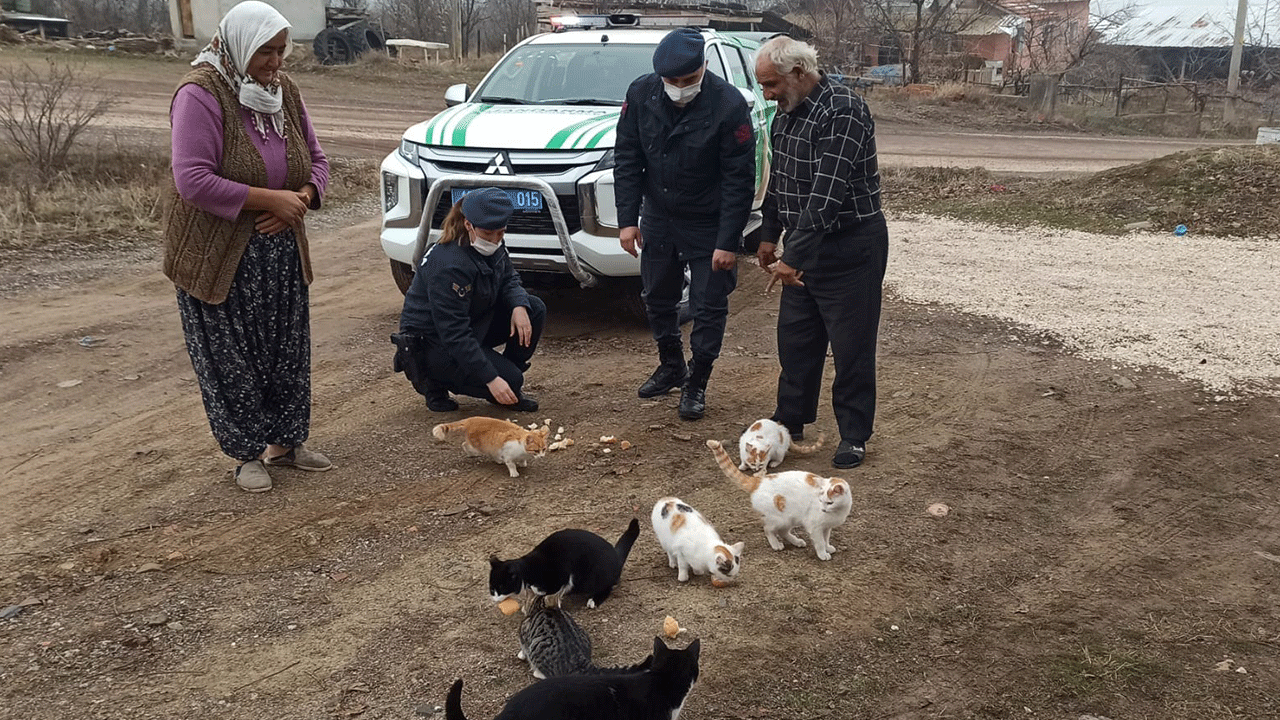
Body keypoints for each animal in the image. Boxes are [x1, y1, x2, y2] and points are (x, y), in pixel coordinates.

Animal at [491, 517, 645, 607]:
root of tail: (616, 556)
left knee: (608, 585)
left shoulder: (561, 576)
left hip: (594, 576)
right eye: (492, 589)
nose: (494, 598)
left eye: (502, 587)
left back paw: (594, 600)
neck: (529, 570)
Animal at [512, 591, 650, 676]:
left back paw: (537, 672)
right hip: (583, 632)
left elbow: (523, 648)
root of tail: (579, 659)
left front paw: (521, 655)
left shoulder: (523, 635)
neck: (543, 608)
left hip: (537, 648)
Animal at [706, 438, 855, 561]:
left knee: (783, 531)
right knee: (768, 529)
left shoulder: (826, 527)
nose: (823, 509)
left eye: (829, 503)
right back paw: (775, 544)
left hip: (790, 518)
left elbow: (826, 539)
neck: (837, 512)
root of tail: (759, 481)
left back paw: (796, 541)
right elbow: (819, 542)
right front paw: (823, 553)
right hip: (779, 518)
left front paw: (828, 547)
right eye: (821, 501)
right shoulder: (815, 527)